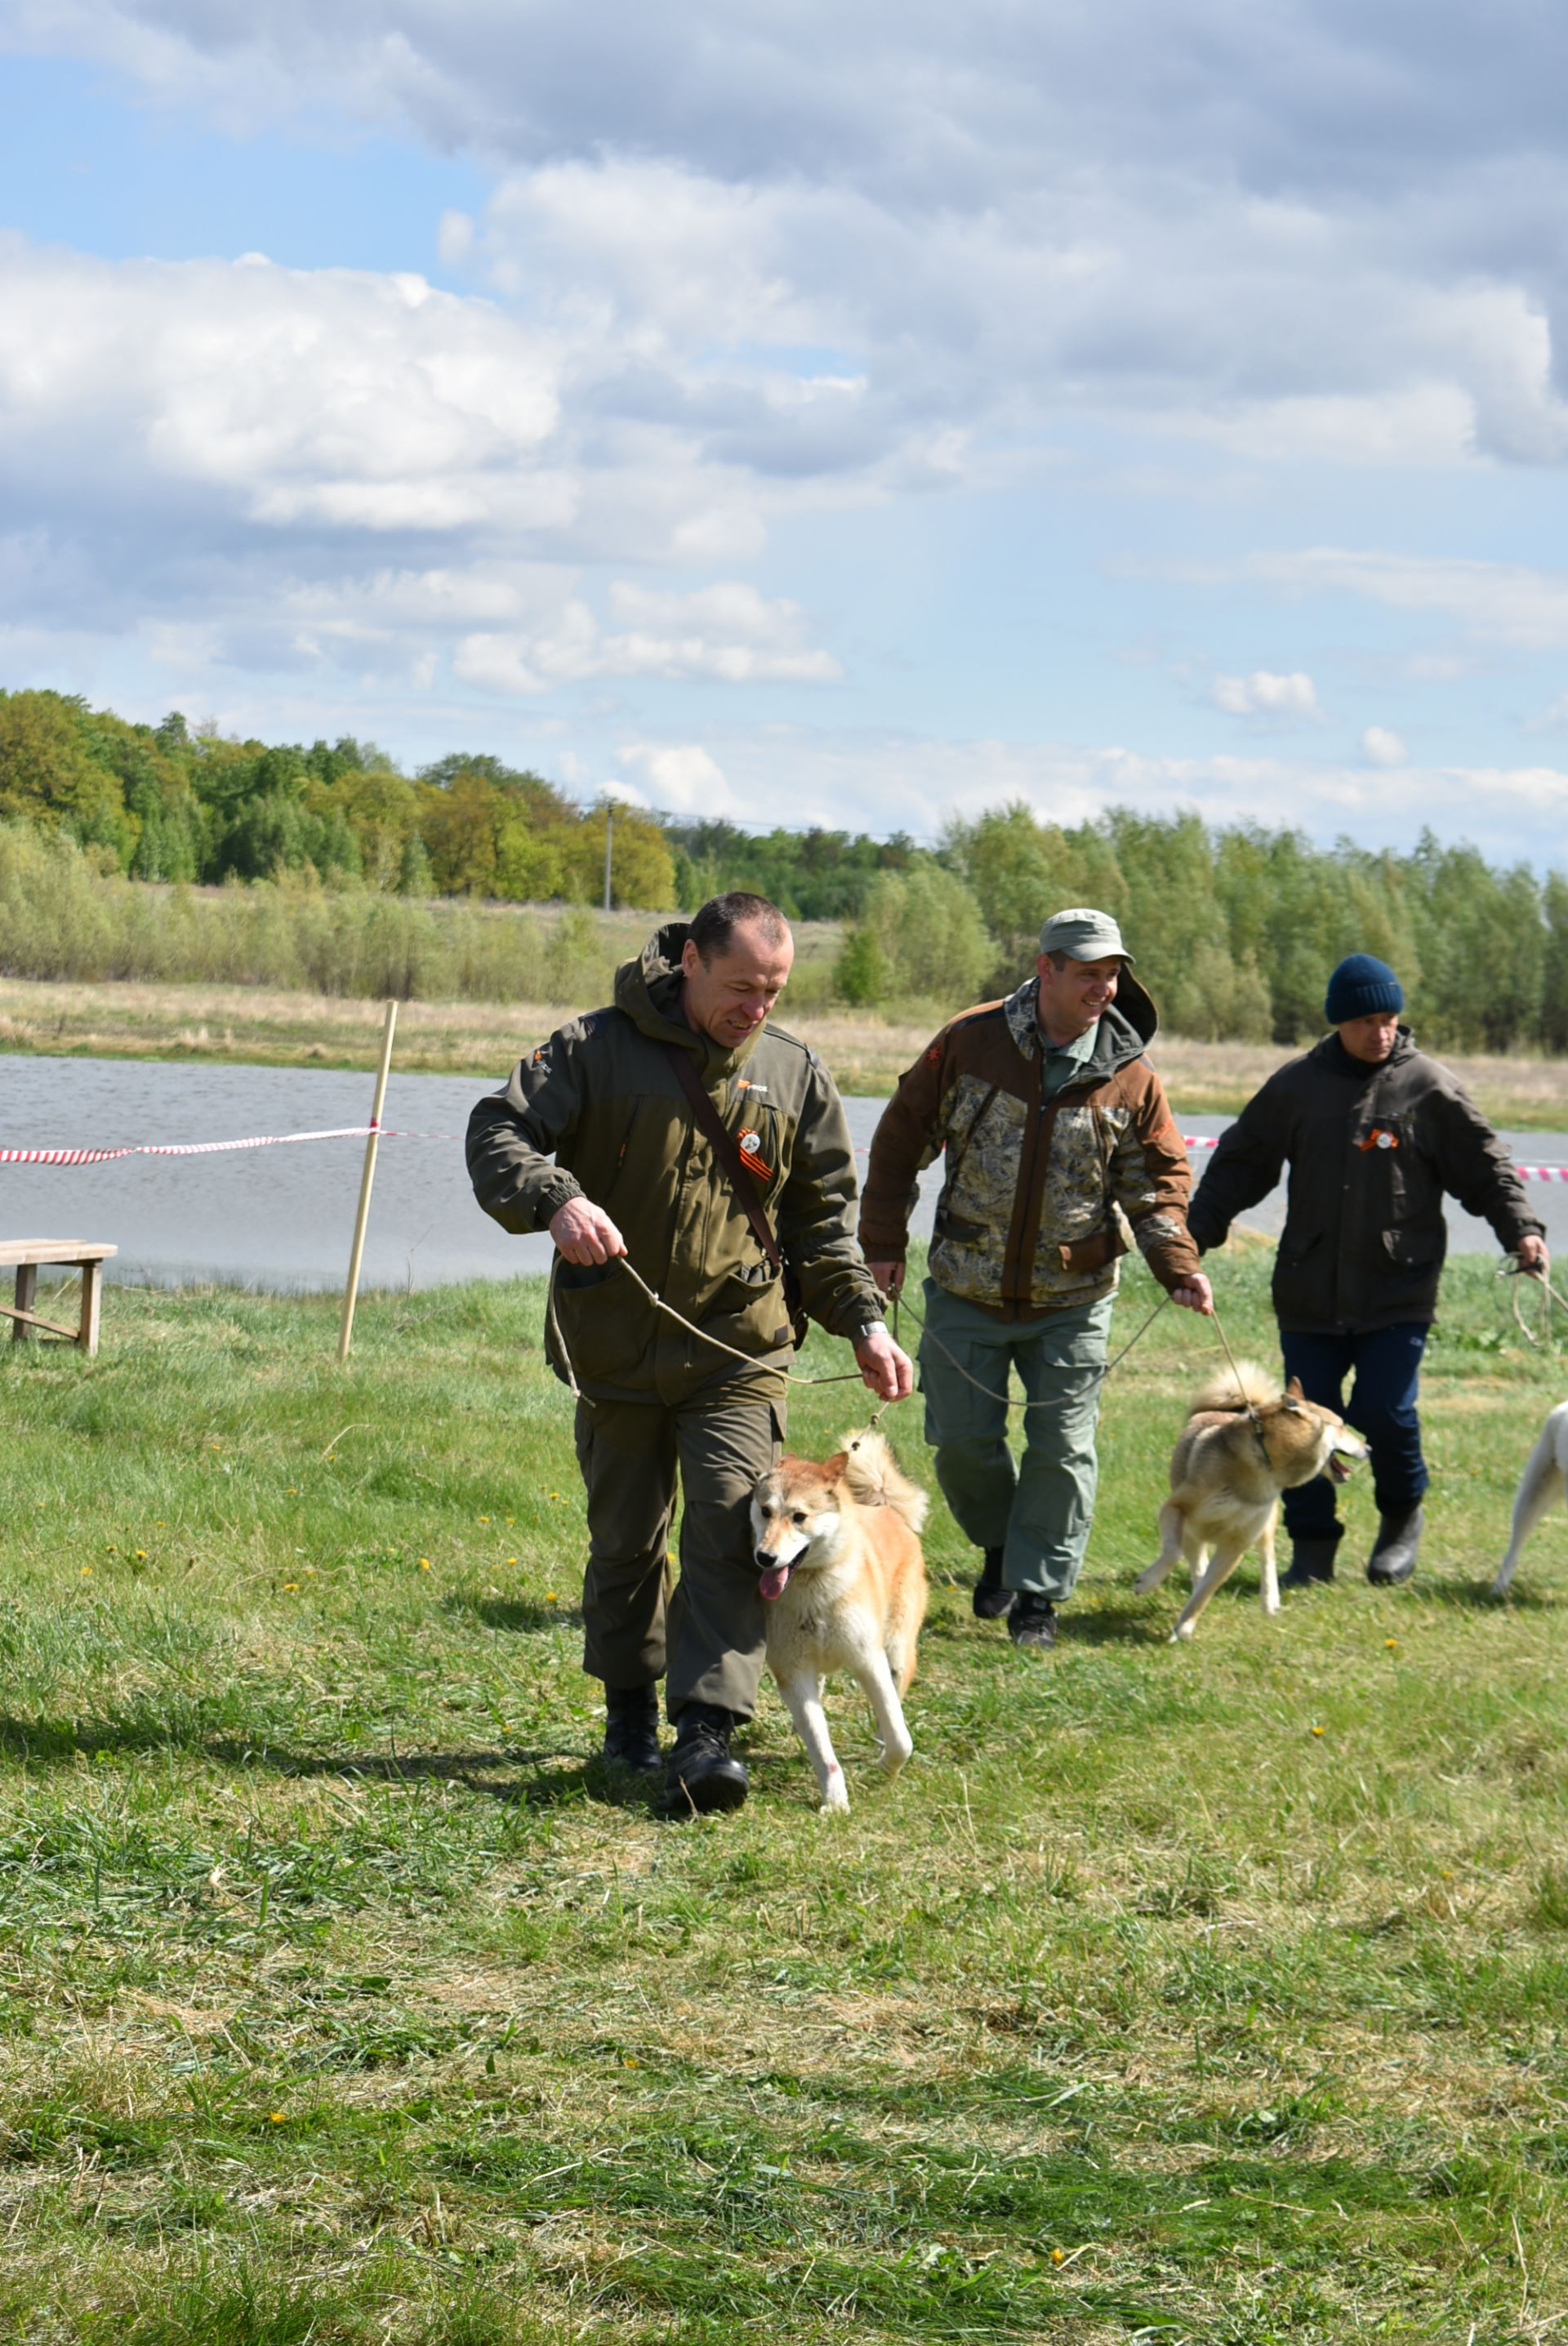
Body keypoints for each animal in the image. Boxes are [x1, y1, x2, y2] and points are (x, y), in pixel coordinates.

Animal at [750, 1426, 923, 1811]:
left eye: (799, 1516)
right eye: (765, 1511)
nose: (764, 1557)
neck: (813, 1590)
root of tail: (885, 1508)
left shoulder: (868, 1660)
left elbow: (901, 1737)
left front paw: (887, 1767)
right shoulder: (793, 1671)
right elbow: (820, 1746)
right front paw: (835, 1802)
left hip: (897, 1650)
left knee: (893, 1702)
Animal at [1129, 1370, 1359, 1642]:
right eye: (1341, 1426)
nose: (1368, 1448)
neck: (1263, 1459)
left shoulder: (1236, 1543)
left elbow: (1206, 1590)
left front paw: (1185, 1626)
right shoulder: (1177, 1510)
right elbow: (1175, 1555)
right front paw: (1147, 1583)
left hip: (1264, 1523)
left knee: (1267, 1554)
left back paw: (1270, 1600)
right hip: (1194, 1532)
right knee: (1197, 1562)